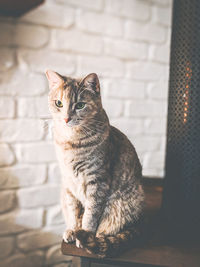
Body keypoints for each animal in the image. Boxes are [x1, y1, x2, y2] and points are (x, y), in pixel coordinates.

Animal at [46, 70, 145, 258]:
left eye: (80, 105)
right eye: (59, 103)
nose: (66, 118)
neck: (71, 142)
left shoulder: (97, 182)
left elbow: (90, 215)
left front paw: (84, 235)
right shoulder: (68, 184)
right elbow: (74, 211)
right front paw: (72, 230)